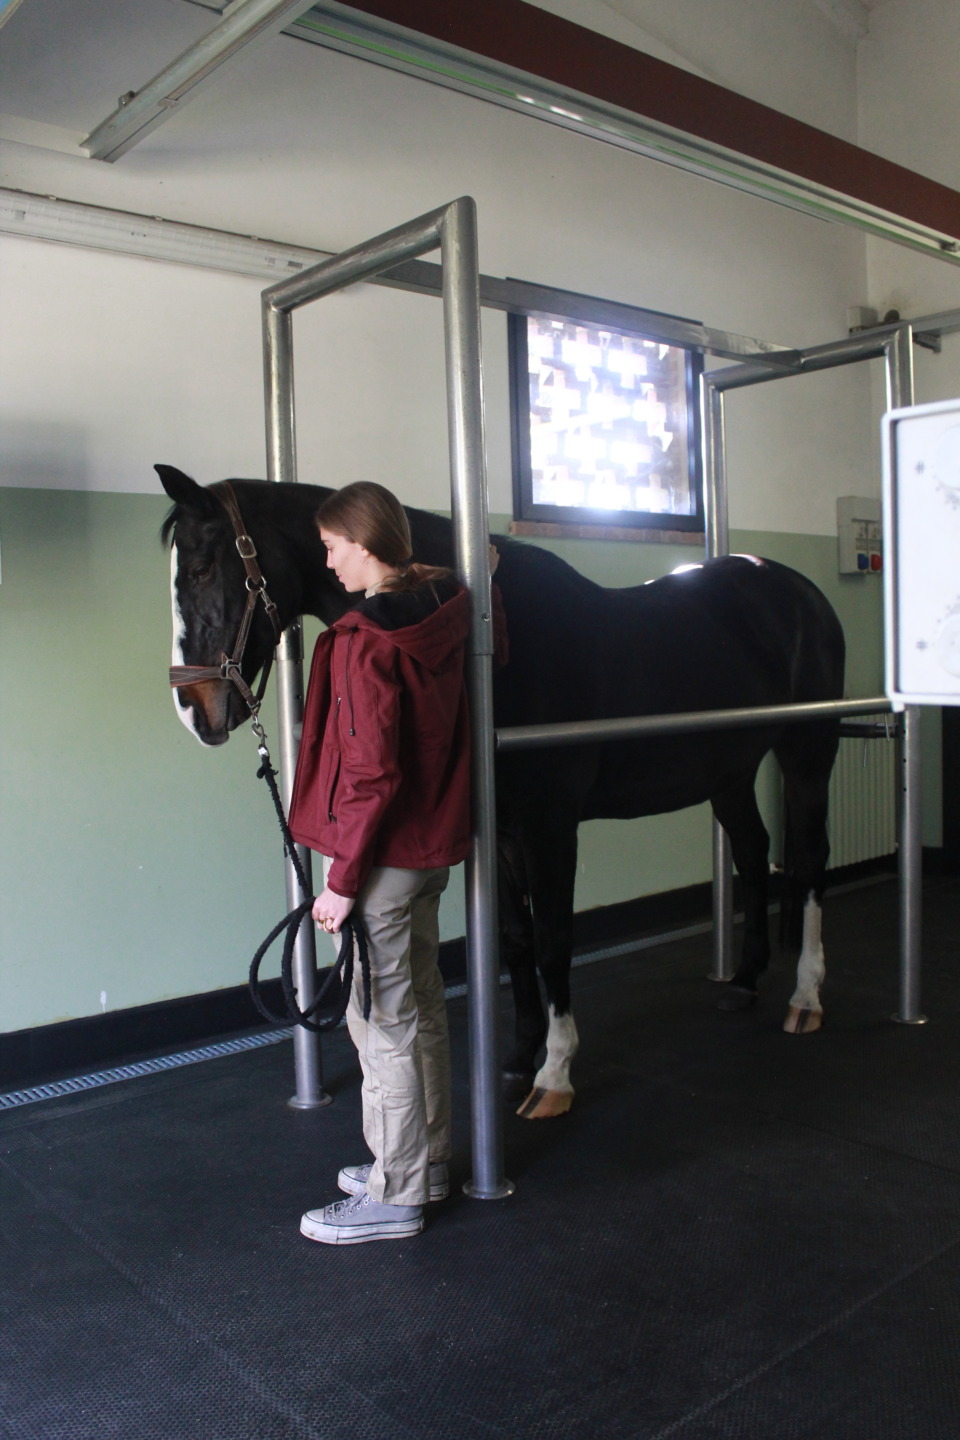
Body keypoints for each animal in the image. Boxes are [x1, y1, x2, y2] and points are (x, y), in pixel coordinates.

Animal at [158, 464, 845, 1118]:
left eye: (201, 567)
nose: (194, 712)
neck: (495, 647)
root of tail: (801, 592)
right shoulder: (504, 831)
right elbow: (516, 941)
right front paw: (518, 1055)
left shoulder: (549, 827)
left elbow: (553, 941)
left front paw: (555, 1074)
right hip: (729, 771)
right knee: (754, 854)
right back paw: (747, 980)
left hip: (808, 753)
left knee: (810, 860)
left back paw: (806, 996)